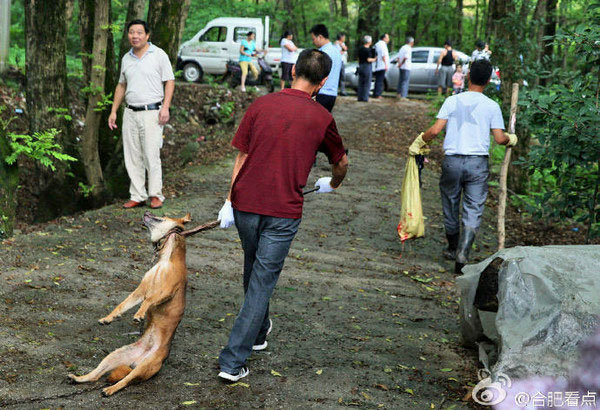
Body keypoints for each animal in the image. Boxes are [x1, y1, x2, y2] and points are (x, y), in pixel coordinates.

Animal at [67, 210, 216, 396]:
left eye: (163, 215)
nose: (146, 211)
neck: (166, 258)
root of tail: (137, 359)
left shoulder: (166, 291)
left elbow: (149, 300)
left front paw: (139, 314)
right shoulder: (140, 290)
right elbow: (123, 304)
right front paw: (108, 318)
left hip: (145, 366)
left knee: (124, 382)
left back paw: (109, 389)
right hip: (115, 356)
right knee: (96, 375)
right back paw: (78, 378)